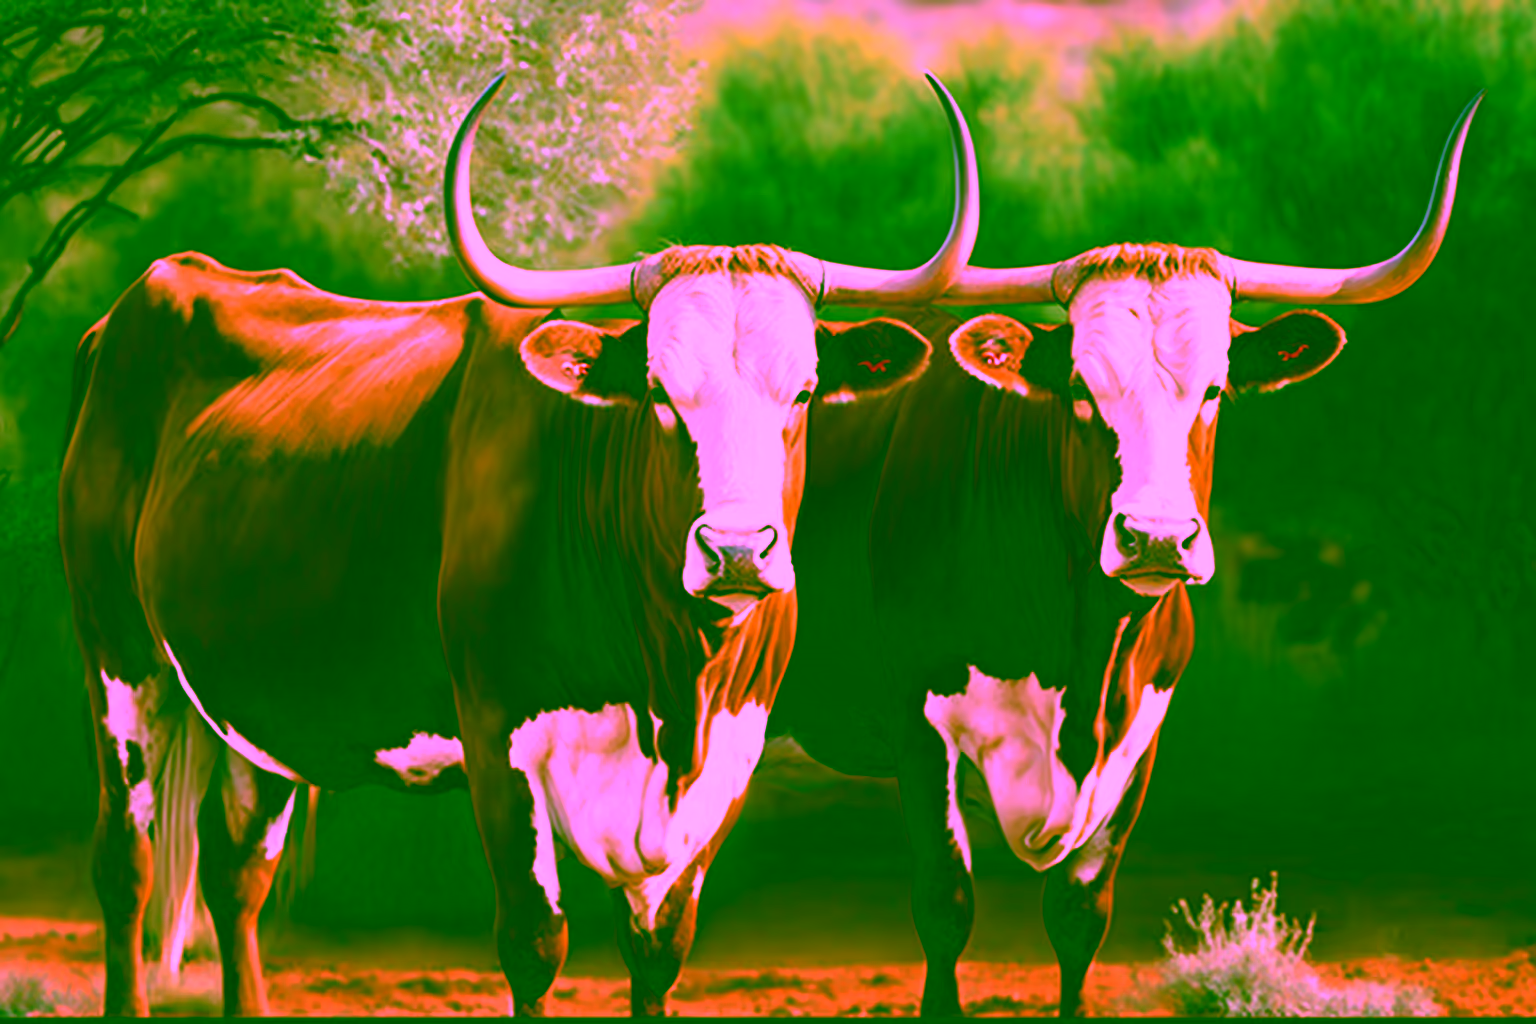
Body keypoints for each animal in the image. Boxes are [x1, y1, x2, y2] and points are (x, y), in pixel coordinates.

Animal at [58, 71, 979, 1017]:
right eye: (658, 389)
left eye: (802, 392)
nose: (735, 551)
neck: (669, 679)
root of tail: (164, 283)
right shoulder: (497, 732)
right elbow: (535, 943)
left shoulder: (730, 756)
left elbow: (659, 950)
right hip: (114, 651)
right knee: (125, 863)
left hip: (260, 693)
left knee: (238, 867)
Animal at [769, 92, 1482, 1017]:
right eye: (1081, 390)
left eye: (1214, 388)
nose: (1156, 539)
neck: (1081, 650)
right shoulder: (918, 730)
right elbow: (945, 904)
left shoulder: (1140, 739)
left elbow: (1080, 914)